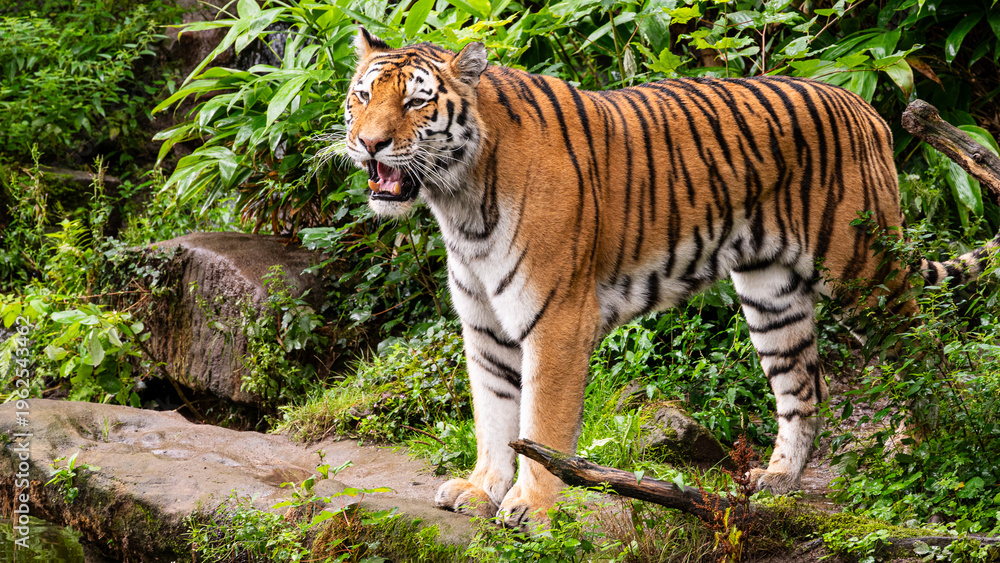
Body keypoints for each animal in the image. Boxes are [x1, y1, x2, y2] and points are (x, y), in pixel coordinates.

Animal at [342, 27, 998, 528]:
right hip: (771, 292)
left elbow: (539, 424)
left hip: (864, 268)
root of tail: (865, 106)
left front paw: (533, 506)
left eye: (416, 103)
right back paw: (778, 479)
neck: (458, 203)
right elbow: (494, 414)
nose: (367, 143)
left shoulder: (556, 320)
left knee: (922, 349)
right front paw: (481, 490)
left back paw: (915, 444)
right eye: (362, 96)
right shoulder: (483, 325)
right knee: (805, 387)